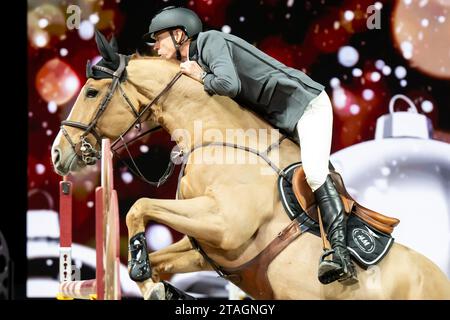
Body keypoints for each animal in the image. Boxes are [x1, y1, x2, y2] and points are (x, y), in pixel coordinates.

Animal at [51, 31, 448, 298]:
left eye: (91, 92)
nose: (56, 154)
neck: (216, 139)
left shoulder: (225, 224)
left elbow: (139, 206)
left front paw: (141, 270)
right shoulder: (210, 249)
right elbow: (160, 256)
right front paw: (153, 282)